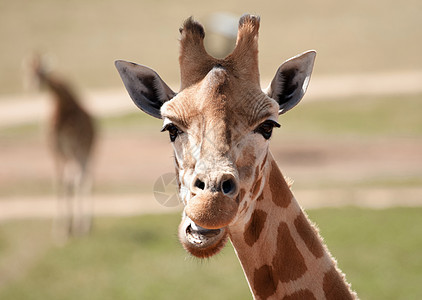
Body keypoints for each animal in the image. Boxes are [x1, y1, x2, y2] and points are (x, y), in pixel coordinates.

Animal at [24, 54, 97, 239]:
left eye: (41, 71)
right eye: (28, 71)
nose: (33, 85)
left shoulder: (72, 146)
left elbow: (71, 181)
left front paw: (70, 229)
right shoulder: (54, 148)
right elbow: (59, 182)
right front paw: (60, 230)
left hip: (87, 150)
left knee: (85, 179)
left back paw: (84, 226)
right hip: (75, 153)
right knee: (79, 178)